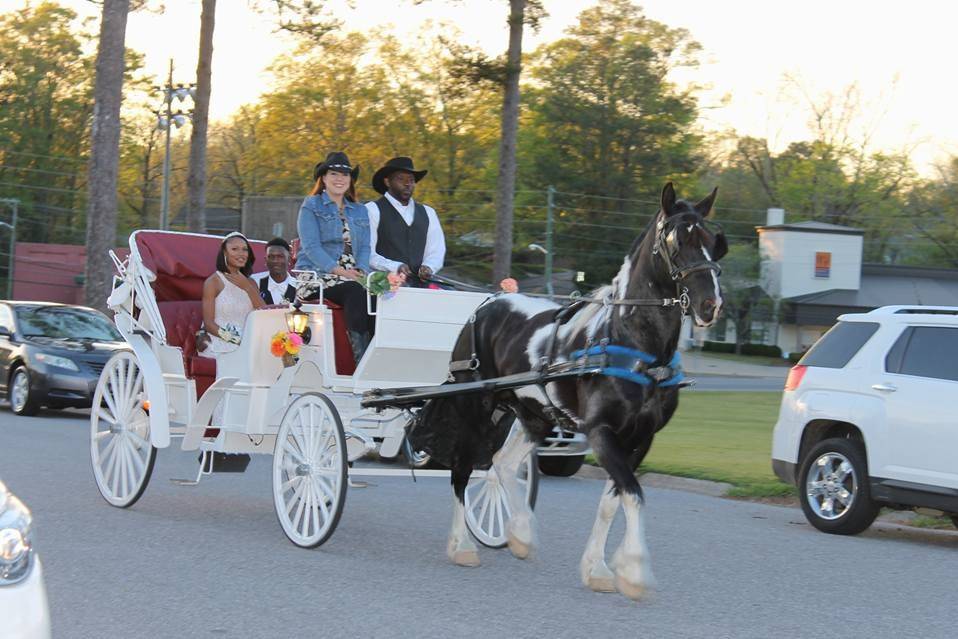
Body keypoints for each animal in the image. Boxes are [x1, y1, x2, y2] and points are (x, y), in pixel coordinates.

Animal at [412, 184, 728, 600]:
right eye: (676, 240)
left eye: (712, 241)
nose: (711, 304)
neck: (634, 343)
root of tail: (488, 302)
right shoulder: (600, 431)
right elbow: (633, 494)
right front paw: (634, 570)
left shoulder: (640, 438)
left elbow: (615, 500)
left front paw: (599, 569)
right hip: (474, 406)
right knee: (463, 469)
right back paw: (462, 544)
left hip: (532, 415)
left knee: (501, 464)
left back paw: (520, 533)